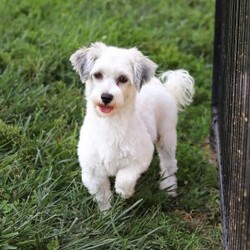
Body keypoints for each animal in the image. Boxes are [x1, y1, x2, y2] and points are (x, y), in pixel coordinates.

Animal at [69, 42, 194, 211]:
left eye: (123, 78)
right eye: (97, 75)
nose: (106, 97)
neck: (111, 123)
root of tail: (165, 87)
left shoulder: (141, 156)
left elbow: (125, 177)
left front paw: (124, 193)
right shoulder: (92, 170)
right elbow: (102, 194)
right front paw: (107, 213)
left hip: (166, 135)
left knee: (169, 163)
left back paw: (169, 187)